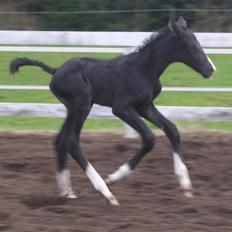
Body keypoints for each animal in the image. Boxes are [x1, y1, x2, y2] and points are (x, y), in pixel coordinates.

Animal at [9, 17, 216, 205]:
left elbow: (172, 130)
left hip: (73, 108)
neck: (143, 69)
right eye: (192, 46)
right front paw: (114, 177)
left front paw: (186, 185)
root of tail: (56, 70)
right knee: (71, 141)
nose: (211, 70)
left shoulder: (145, 106)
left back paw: (68, 193)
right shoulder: (122, 108)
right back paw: (106, 192)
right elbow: (149, 138)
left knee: (60, 141)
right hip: (82, 104)